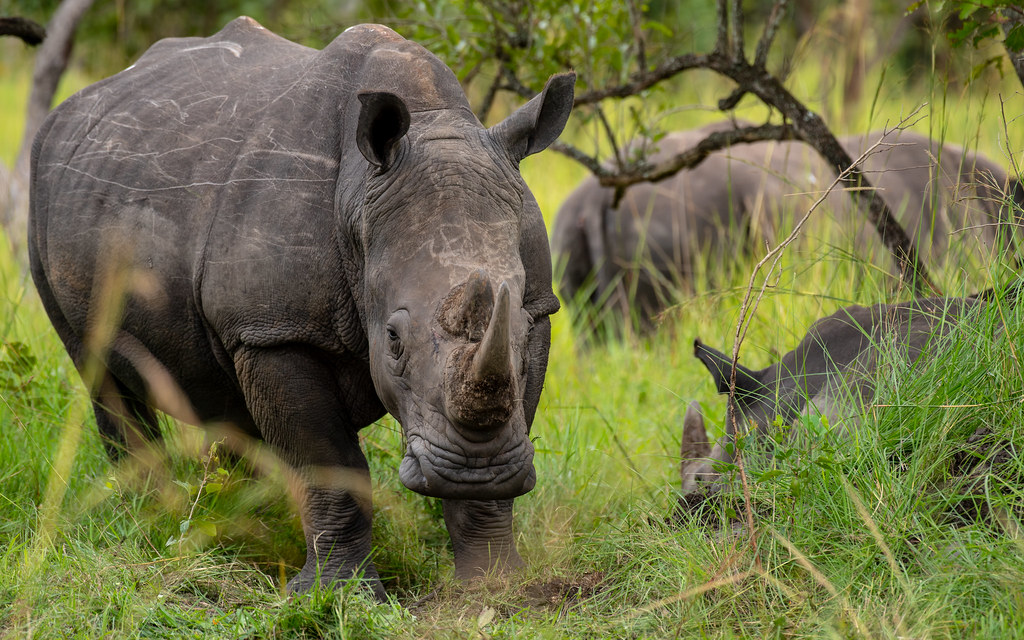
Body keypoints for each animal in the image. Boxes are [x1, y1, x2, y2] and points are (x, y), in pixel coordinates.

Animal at [27, 17, 575, 597]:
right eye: (393, 341)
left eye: (519, 328)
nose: (473, 469)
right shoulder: (275, 330)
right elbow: (330, 463)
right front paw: (338, 595)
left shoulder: (540, 307)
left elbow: (511, 414)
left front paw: (494, 586)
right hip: (48, 191)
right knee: (99, 369)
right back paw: (148, 517)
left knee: (226, 401)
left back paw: (232, 515)